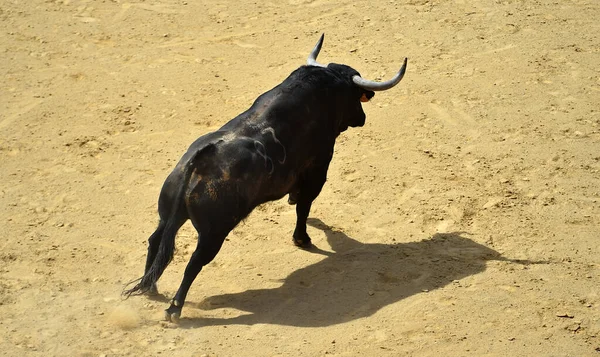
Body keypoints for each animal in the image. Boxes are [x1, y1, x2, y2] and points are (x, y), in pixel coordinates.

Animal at [125, 34, 408, 322]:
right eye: (355, 97)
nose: (362, 118)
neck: (324, 86)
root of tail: (199, 161)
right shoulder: (318, 168)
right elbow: (304, 206)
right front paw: (302, 239)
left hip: (169, 212)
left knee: (156, 241)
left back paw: (150, 287)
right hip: (214, 232)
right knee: (194, 262)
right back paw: (174, 308)